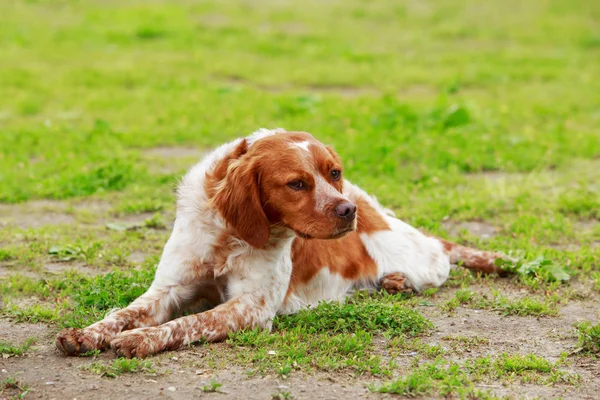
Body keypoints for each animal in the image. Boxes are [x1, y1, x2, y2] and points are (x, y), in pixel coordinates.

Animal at [55, 129, 506, 360]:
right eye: (296, 184)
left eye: (334, 172)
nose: (346, 210)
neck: (230, 236)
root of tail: (373, 209)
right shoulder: (169, 288)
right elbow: (123, 313)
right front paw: (85, 333)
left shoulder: (252, 307)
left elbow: (186, 324)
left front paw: (139, 339)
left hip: (416, 254)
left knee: (442, 254)